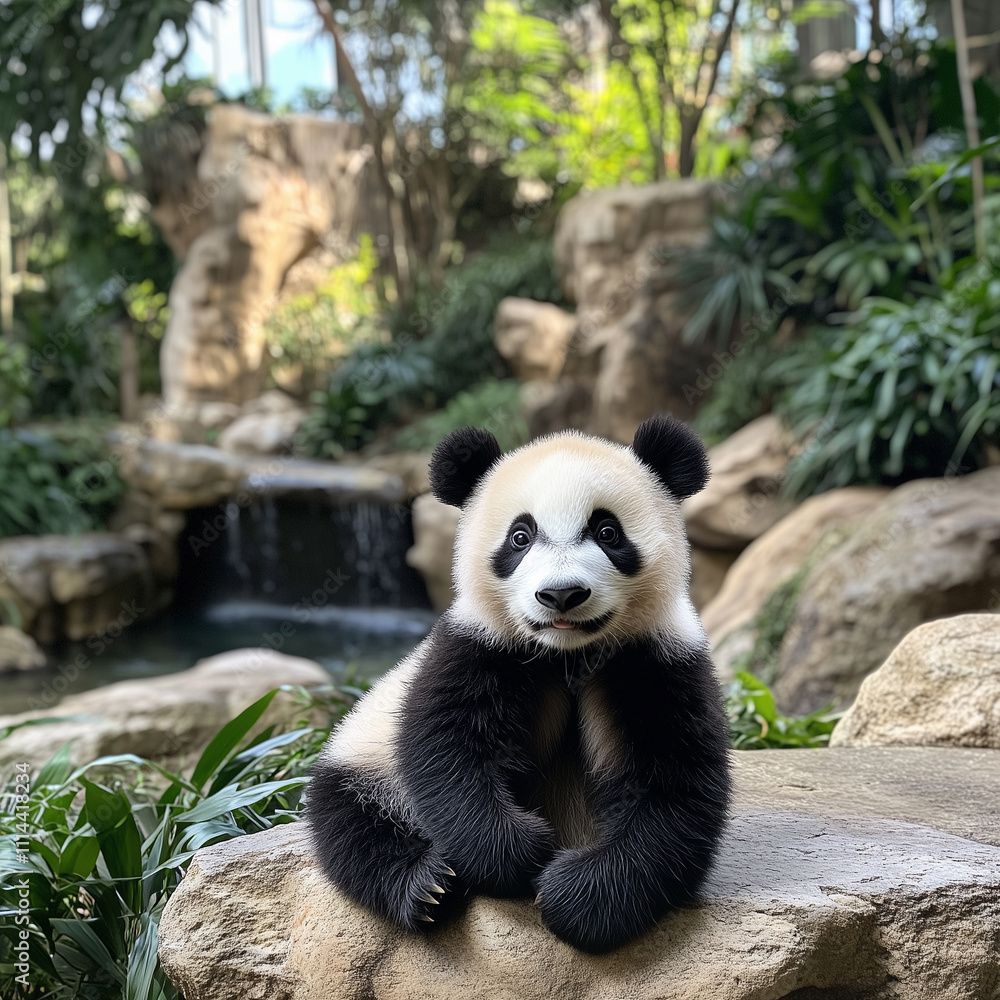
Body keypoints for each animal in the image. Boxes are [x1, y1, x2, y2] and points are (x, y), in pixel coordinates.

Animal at [307, 414, 731, 954]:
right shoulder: (479, 646)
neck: (566, 655)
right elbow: (448, 753)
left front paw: (575, 897)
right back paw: (427, 887)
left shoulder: (657, 658)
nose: (562, 594)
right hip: (363, 750)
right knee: (349, 819)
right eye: (520, 537)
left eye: (607, 531)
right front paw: (521, 854)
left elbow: (671, 788)